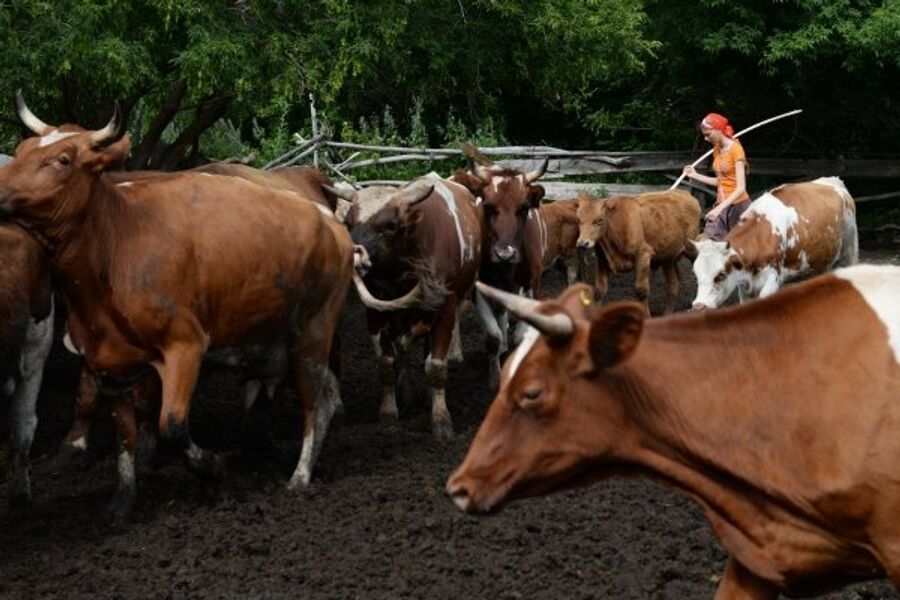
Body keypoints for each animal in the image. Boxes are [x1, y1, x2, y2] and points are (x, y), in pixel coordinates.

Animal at [3, 92, 356, 520]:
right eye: (20, 152)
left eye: (63, 159)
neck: (118, 244)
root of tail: (328, 220)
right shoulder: (111, 365)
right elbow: (125, 433)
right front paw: (122, 500)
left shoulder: (185, 347)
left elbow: (172, 425)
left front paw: (213, 467)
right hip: (273, 341)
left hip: (314, 336)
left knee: (317, 406)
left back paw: (300, 476)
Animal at [576, 191, 704, 314]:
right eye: (579, 219)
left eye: (599, 220)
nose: (583, 243)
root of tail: (687, 195)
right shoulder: (602, 260)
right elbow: (600, 290)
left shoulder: (643, 255)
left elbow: (641, 291)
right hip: (668, 258)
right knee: (673, 284)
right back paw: (667, 313)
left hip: (691, 249)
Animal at [692, 176, 860, 310]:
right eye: (696, 274)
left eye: (720, 275)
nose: (699, 305)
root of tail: (833, 181)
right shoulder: (742, 284)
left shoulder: (773, 278)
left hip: (849, 251)